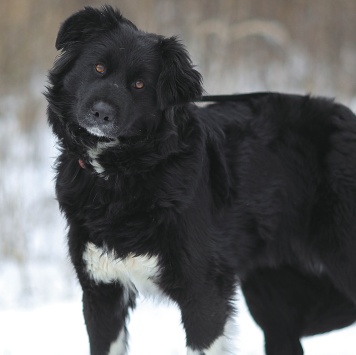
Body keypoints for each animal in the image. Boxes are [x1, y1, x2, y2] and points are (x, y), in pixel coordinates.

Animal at [46, 5, 356, 355]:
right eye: (98, 67)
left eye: (139, 84)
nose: (101, 113)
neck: (120, 175)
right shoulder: (101, 293)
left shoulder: (204, 292)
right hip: (269, 294)